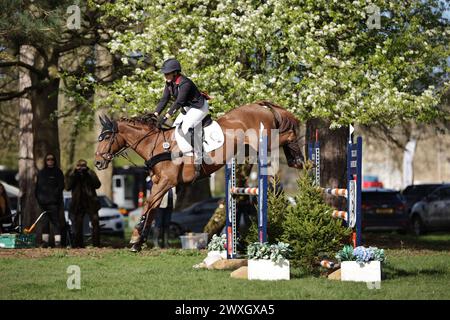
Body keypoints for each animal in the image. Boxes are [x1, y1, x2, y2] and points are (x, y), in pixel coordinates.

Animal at [95, 100, 306, 252]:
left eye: (106, 137)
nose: (97, 162)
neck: (156, 145)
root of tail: (259, 105)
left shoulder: (166, 182)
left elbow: (148, 205)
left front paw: (135, 236)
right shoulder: (157, 183)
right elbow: (152, 208)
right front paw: (138, 241)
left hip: (268, 139)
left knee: (288, 133)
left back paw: (297, 157)